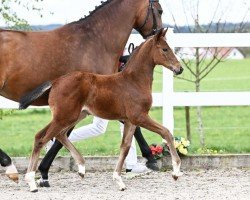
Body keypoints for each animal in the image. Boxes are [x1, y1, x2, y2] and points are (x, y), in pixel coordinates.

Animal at [19, 28, 184, 192]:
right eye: (165, 49)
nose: (180, 68)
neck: (134, 81)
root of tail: (56, 81)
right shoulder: (139, 117)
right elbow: (166, 133)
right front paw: (176, 172)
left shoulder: (130, 121)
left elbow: (125, 146)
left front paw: (119, 180)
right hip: (65, 117)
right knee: (43, 139)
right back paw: (32, 181)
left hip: (73, 116)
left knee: (51, 135)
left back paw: (81, 168)